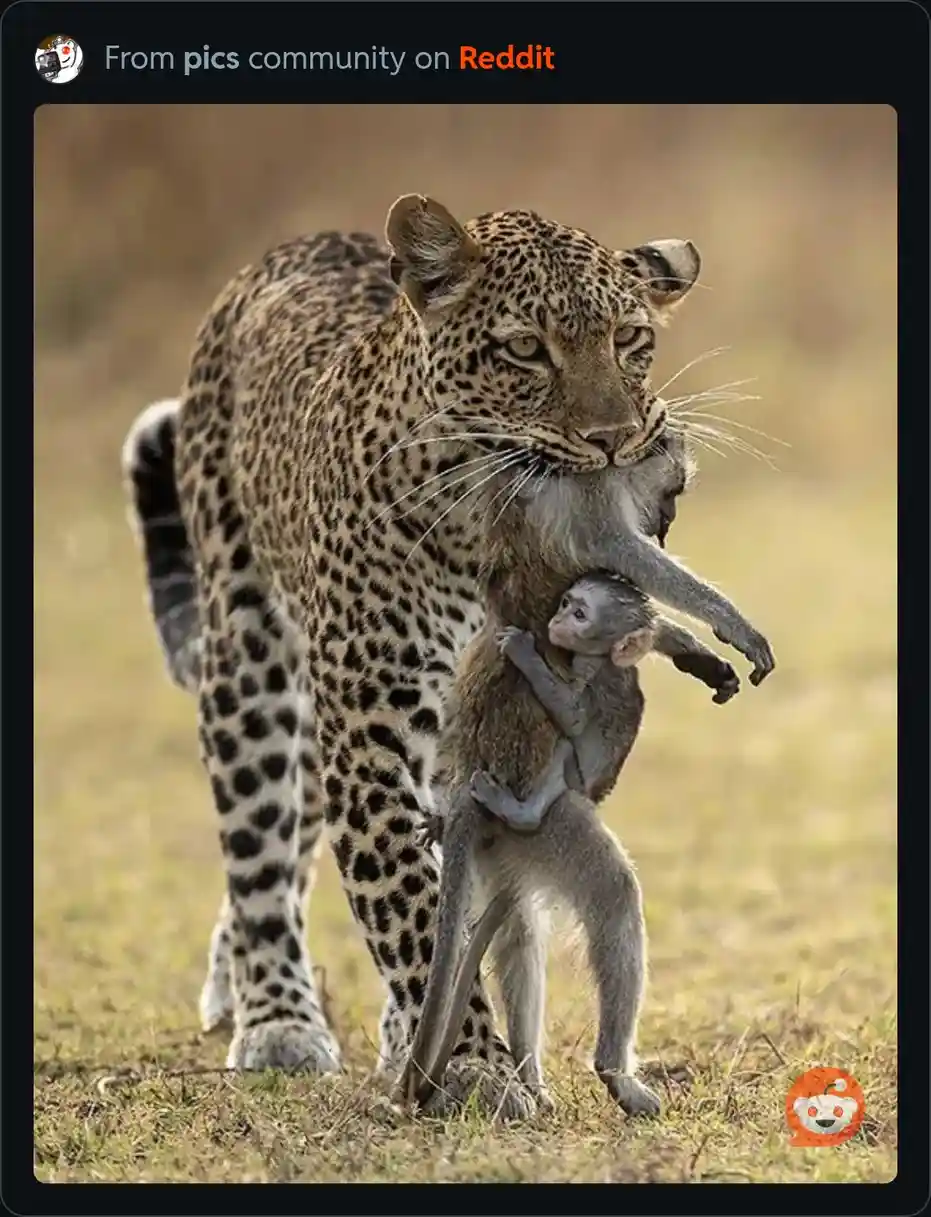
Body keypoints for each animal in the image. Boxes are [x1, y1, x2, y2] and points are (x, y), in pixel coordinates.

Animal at [122, 194, 703, 1119]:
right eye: (525, 349)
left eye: (629, 338)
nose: (615, 439)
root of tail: (296, 244)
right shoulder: (367, 722)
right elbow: (408, 895)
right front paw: (469, 1062)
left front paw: (441, 1045)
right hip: (253, 661)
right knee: (259, 847)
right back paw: (276, 1014)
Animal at [394, 430, 775, 1117]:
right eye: (674, 488)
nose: (667, 524)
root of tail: (469, 792)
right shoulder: (591, 505)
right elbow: (627, 561)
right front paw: (726, 626)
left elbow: (641, 616)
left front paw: (697, 653)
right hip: (550, 821)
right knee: (609, 894)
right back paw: (614, 1073)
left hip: (504, 843)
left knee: (518, 931)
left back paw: (530, 1078)